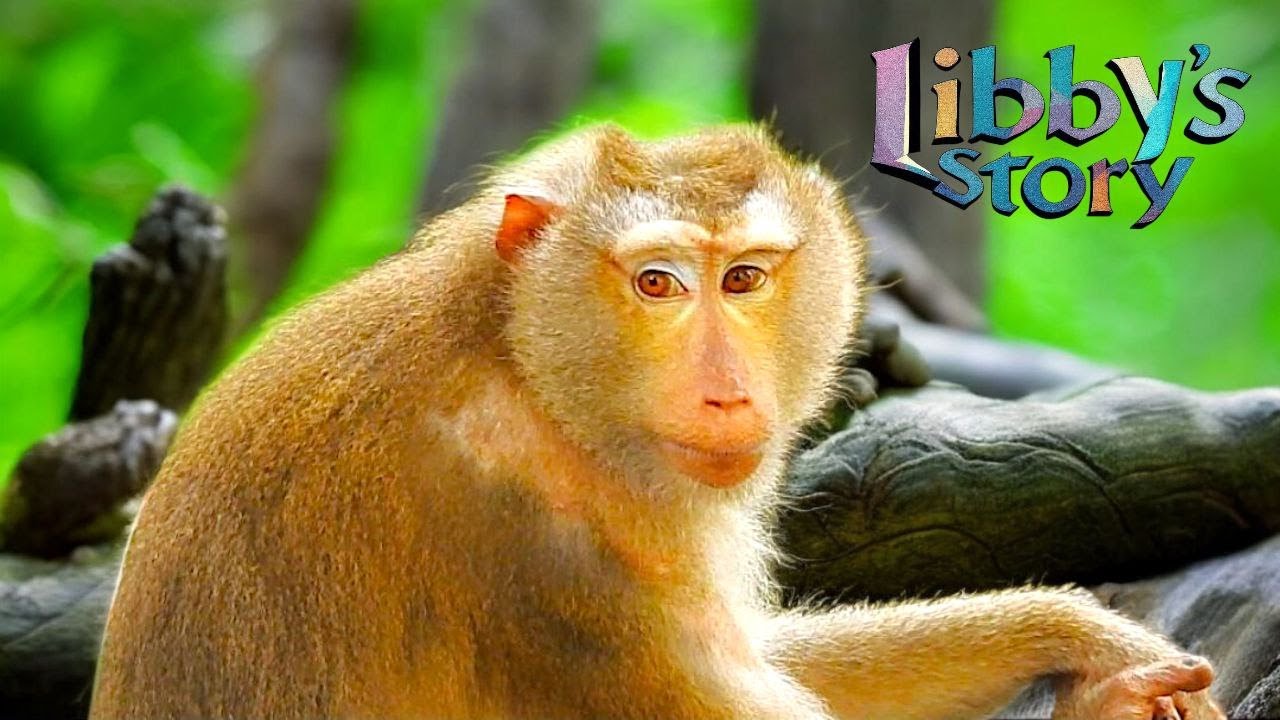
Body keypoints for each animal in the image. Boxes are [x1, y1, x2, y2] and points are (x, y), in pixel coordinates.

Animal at [89, 124, 1225, 720]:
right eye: (656, 283)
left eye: (744, 278)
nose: (725, 391)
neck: (527, 374)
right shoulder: (531, 553)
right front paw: (1099, 701)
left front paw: (1077, 635)